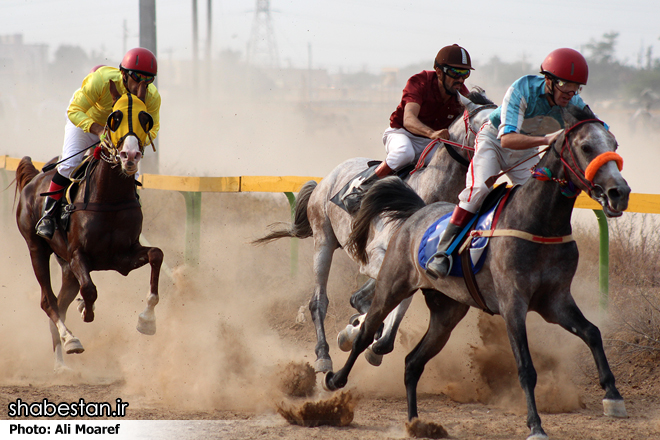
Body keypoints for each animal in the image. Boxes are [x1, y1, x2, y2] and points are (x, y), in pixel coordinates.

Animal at [15, 81, 162, 372]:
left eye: (145, 118)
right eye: (114, 117)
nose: (130, 155)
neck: (110, 198)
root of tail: (34, 177)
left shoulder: (123, 257)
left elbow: (156, 254)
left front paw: (147, 319)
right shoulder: (77, 255)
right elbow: (90, 289)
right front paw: (86, 310)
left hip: (66, 269)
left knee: (60, 304)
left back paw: (61, 361)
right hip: (36, 248)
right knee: (49, 301)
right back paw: (70, 340)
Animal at [255, 89, 498, 372]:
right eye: (484, 124)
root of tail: (326, 180)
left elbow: (375, 299)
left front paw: (366, 335)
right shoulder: (380, 254)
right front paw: (362, 336)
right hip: (323, 240)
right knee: (318, 302)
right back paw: (323, 355)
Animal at [324, 104, 628, 440]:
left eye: (614, 144)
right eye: (586, 147)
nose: (619, 192)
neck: (538, 223)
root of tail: (417, 211)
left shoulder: (555, 300)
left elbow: (592, 332)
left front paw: (613, 396)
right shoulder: (513, 304)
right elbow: (525, 367)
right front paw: (535, 425)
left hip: (448, 311)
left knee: (412, 361)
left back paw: (415, 421)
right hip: (393, 284)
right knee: (367, 331)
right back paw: (336, 377)